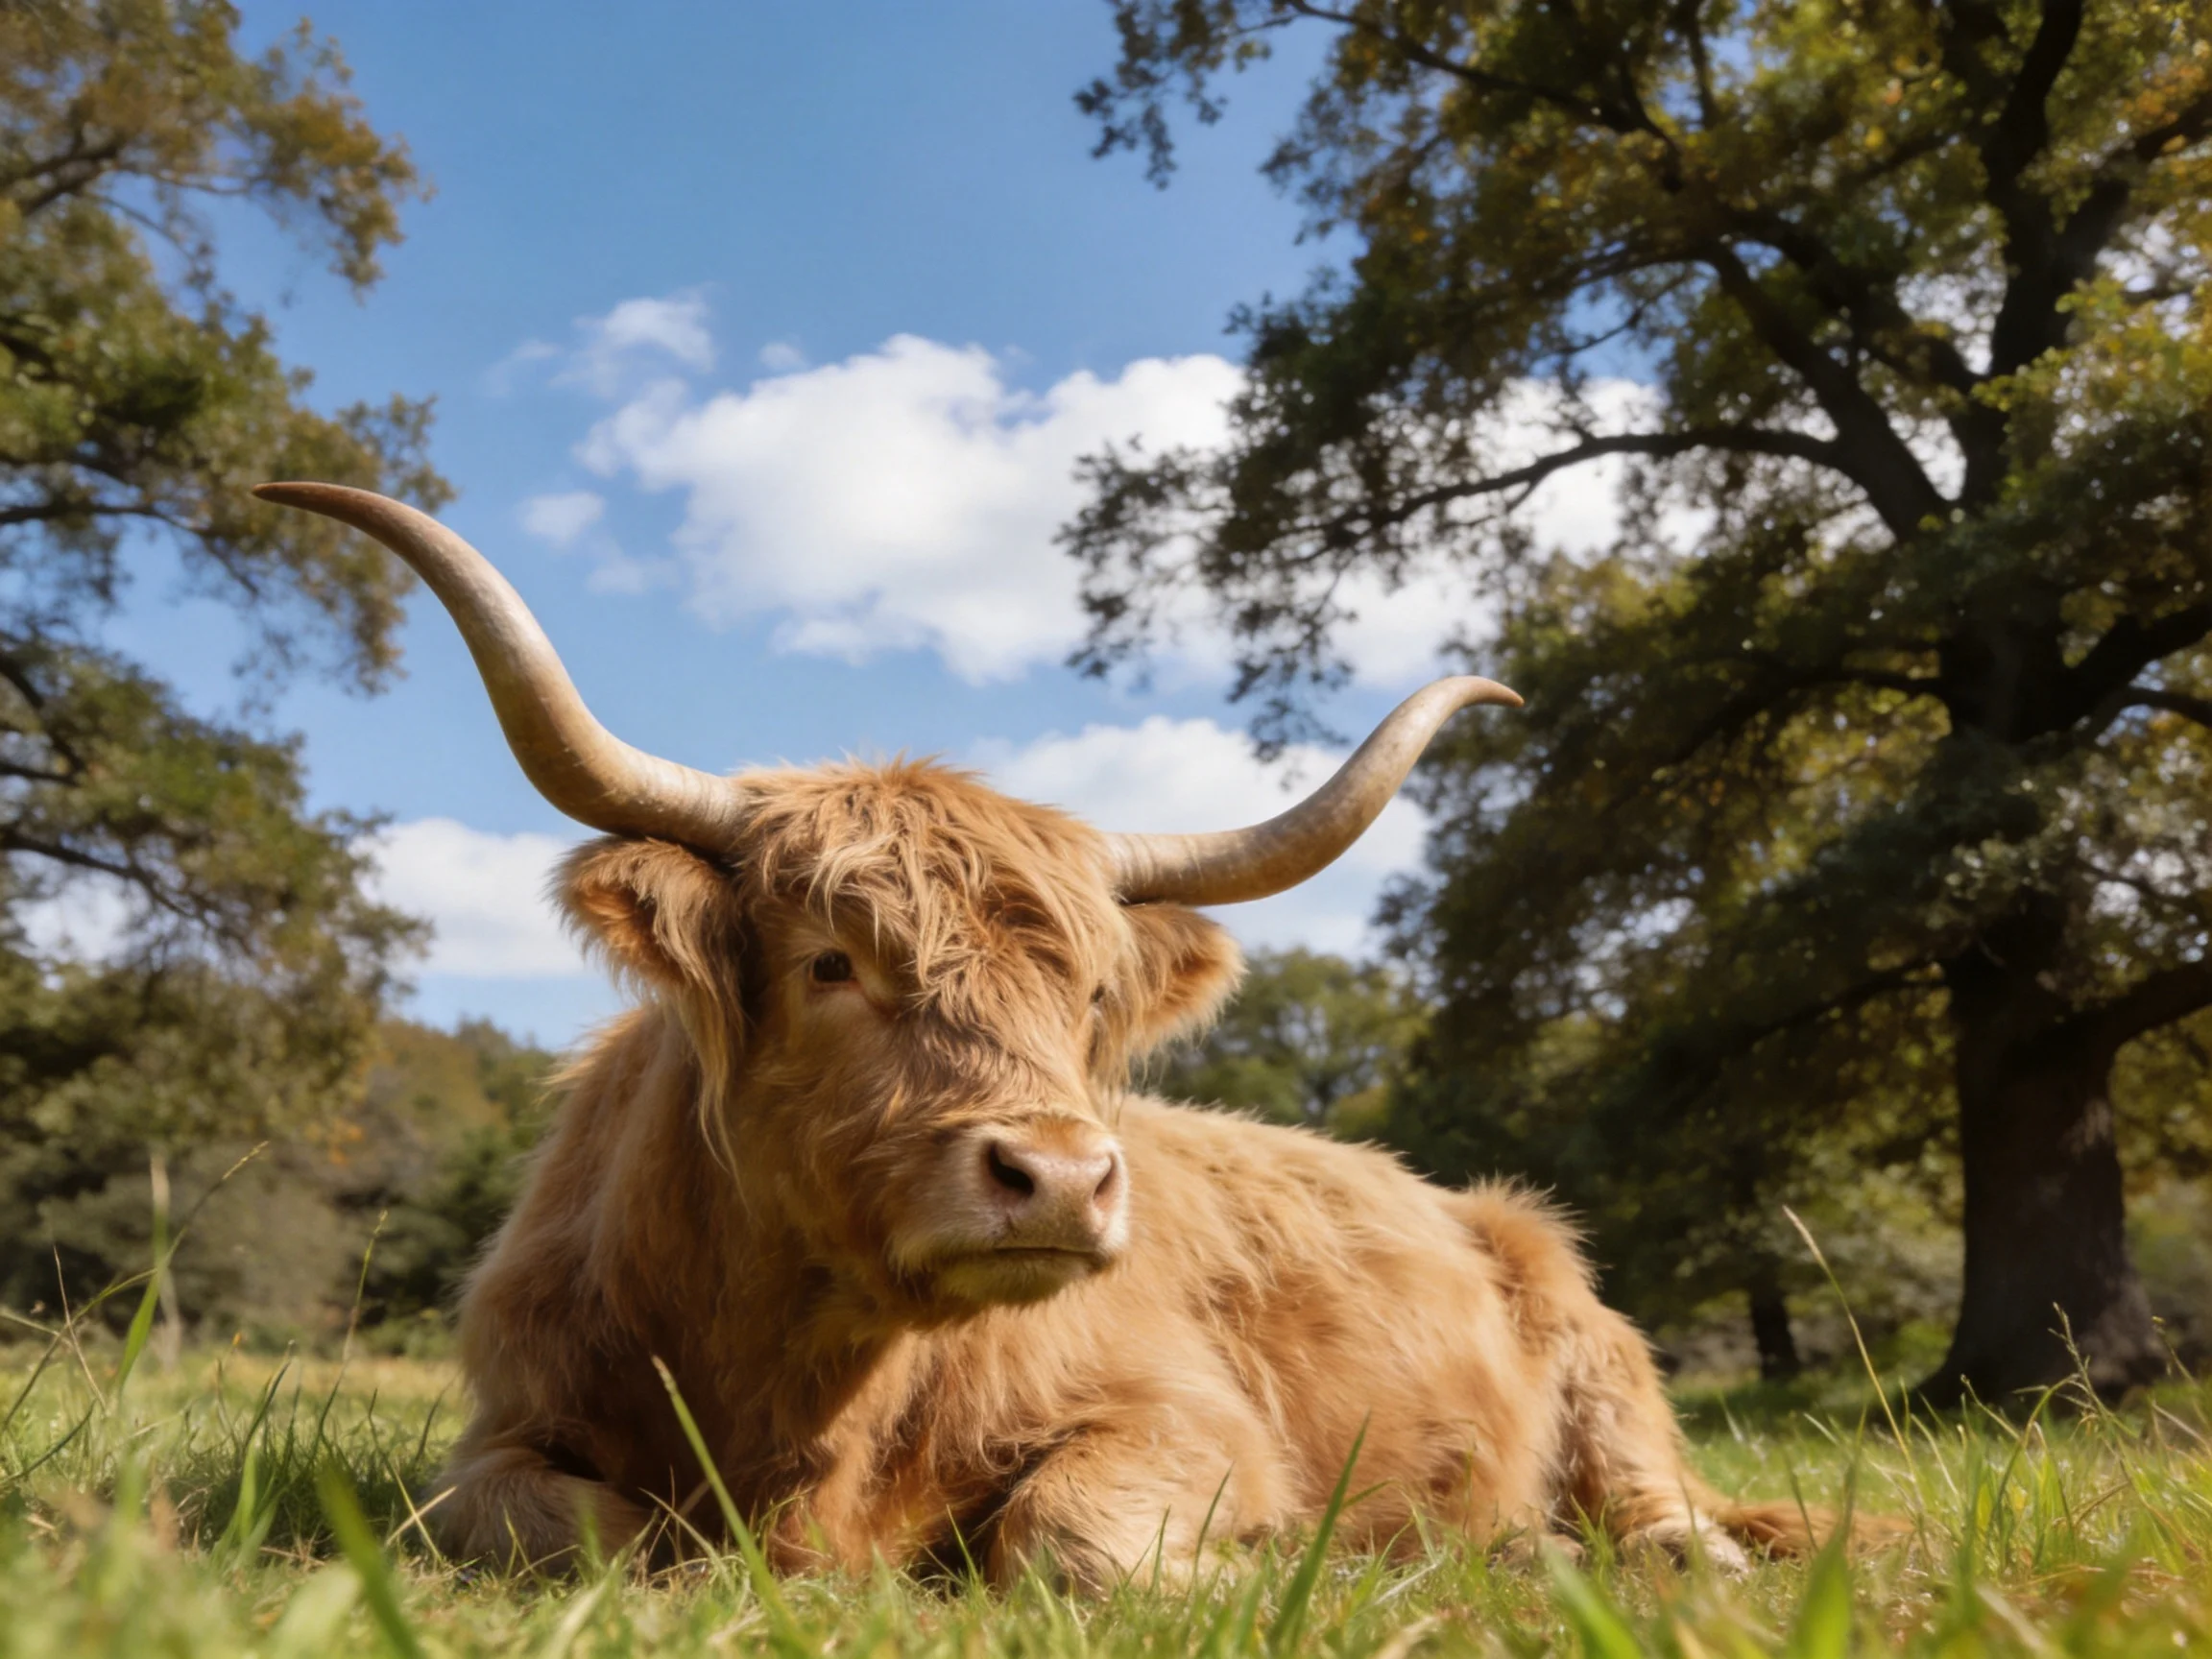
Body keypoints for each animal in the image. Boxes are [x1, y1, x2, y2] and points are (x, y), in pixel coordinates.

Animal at [260, 481, 1856, 1588]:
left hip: (1601, 1362)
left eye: (1090, 996)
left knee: (1664, 1510)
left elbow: (1066, 1537)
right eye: (832, 961)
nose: (1064, 1180)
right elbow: (559, 1528)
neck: (802, 1386)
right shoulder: (502, 1432)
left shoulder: (1191, 1421)